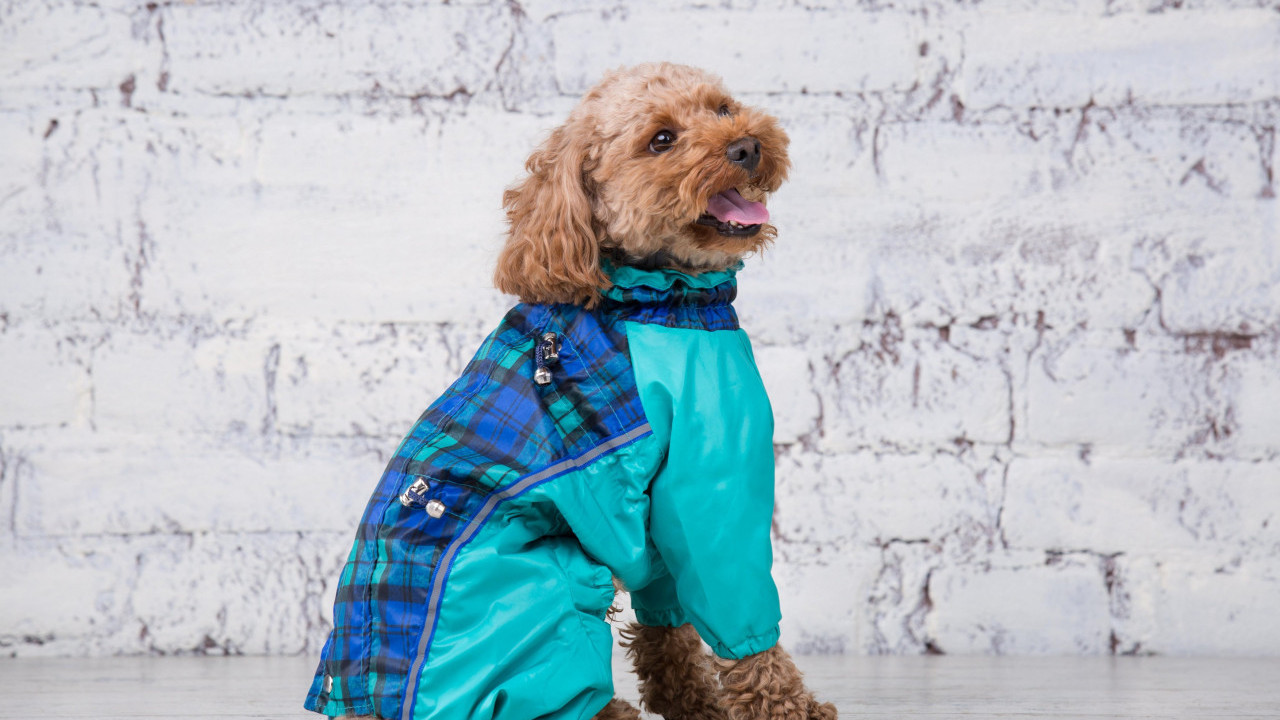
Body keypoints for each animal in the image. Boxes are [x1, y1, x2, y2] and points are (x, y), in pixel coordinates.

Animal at [305, 62, 836, 720]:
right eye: (661, 139)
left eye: (722, 108)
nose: (746, 146)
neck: (655, 300)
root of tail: (350, 696)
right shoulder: (708, 477)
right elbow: (743, 623)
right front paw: (788, 708)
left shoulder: (659, 514)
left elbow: (666, 619)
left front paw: (691, 700)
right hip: (546, 579)